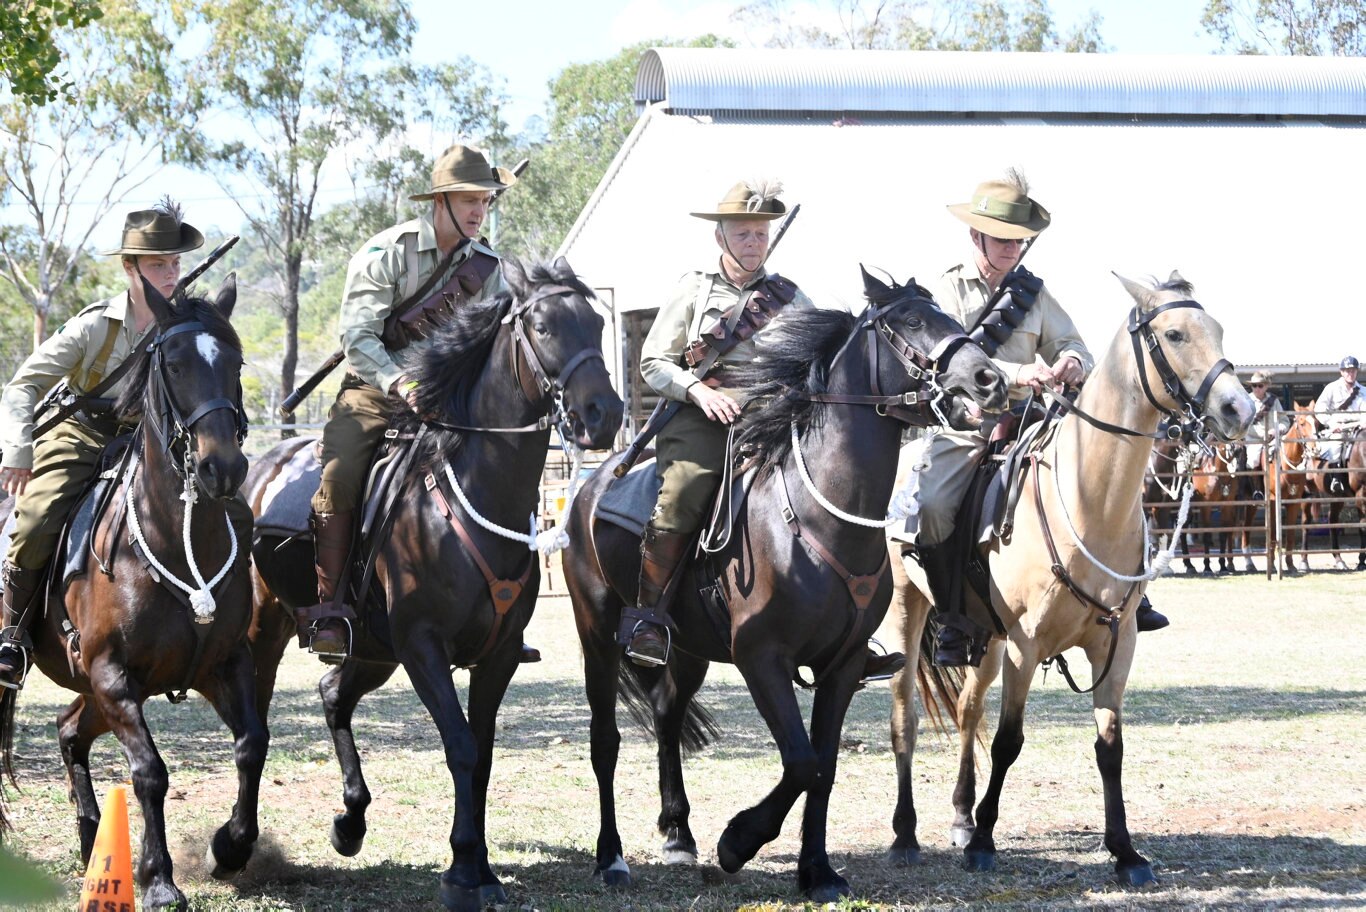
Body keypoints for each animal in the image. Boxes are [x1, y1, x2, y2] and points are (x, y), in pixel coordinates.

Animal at [0, 279, 259, 912]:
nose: (221, 467)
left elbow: (251, 745)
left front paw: (230, 847)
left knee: (69, 731)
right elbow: (150, 771)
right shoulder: (113, 673)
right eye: (175, 363)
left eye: (235, 363)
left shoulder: (222, 664)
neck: (176, 539)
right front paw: (160, 878)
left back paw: (92, 835)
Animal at [248, 258, 622, 912]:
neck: (474, 488)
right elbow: (461, 746)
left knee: (332, 693)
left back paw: (351, 821)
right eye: (544, 326)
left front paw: (481, 868)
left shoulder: (497, 655)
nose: (605, 413)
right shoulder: (424, 647)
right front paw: (464, 869)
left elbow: (483, 753)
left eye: (598, 323)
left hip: (372, 651)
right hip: (269, 634)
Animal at [560, 267, 1010, 901]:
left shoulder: (842, 666)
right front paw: (738, 841)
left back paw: (678, 834)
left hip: (687, 649)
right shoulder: (762, 657)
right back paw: (612, 858)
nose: (990, 379)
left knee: (668, 716)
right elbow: (800, 760)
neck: (822, 516)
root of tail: (590, 488)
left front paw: (817, 870)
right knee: (605, 740)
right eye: (911, 320)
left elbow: (823, 766)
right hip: (597, 634)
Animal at [885, 270, 1256, 884]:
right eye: (1174, 334)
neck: (1092, 503)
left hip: (984, 638)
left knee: (967, 710)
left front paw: (1125, 851)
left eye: (1220, 329)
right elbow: (1009, 742)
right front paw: (984, 842)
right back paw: (906, 833)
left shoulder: (1117, 644)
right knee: (905, 717)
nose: (1239, 408)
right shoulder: (1026, 646)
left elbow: (1110, 746)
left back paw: (961, 814)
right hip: (907, 612)